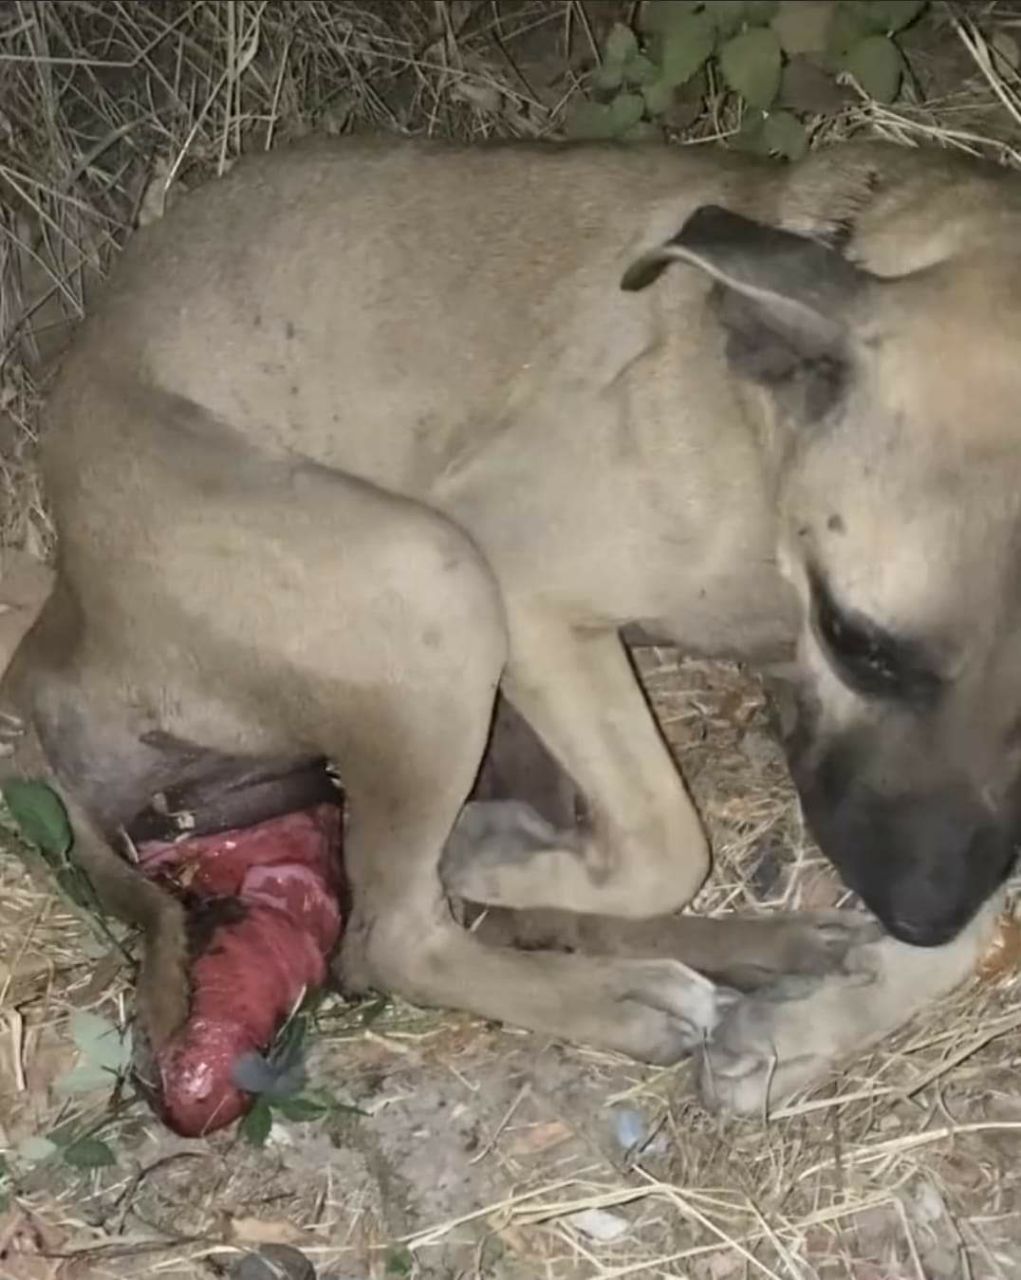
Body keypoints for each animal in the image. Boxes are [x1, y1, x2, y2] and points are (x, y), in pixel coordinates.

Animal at [3, 140, 1018, 1116]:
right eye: (856, 642)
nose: (918, 914)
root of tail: (58, 633)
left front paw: (806, 1034)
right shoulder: (523, 580)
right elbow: (666, 839)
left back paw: (770, 949)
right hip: (431, 581)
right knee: (392, 937)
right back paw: (614, 985)